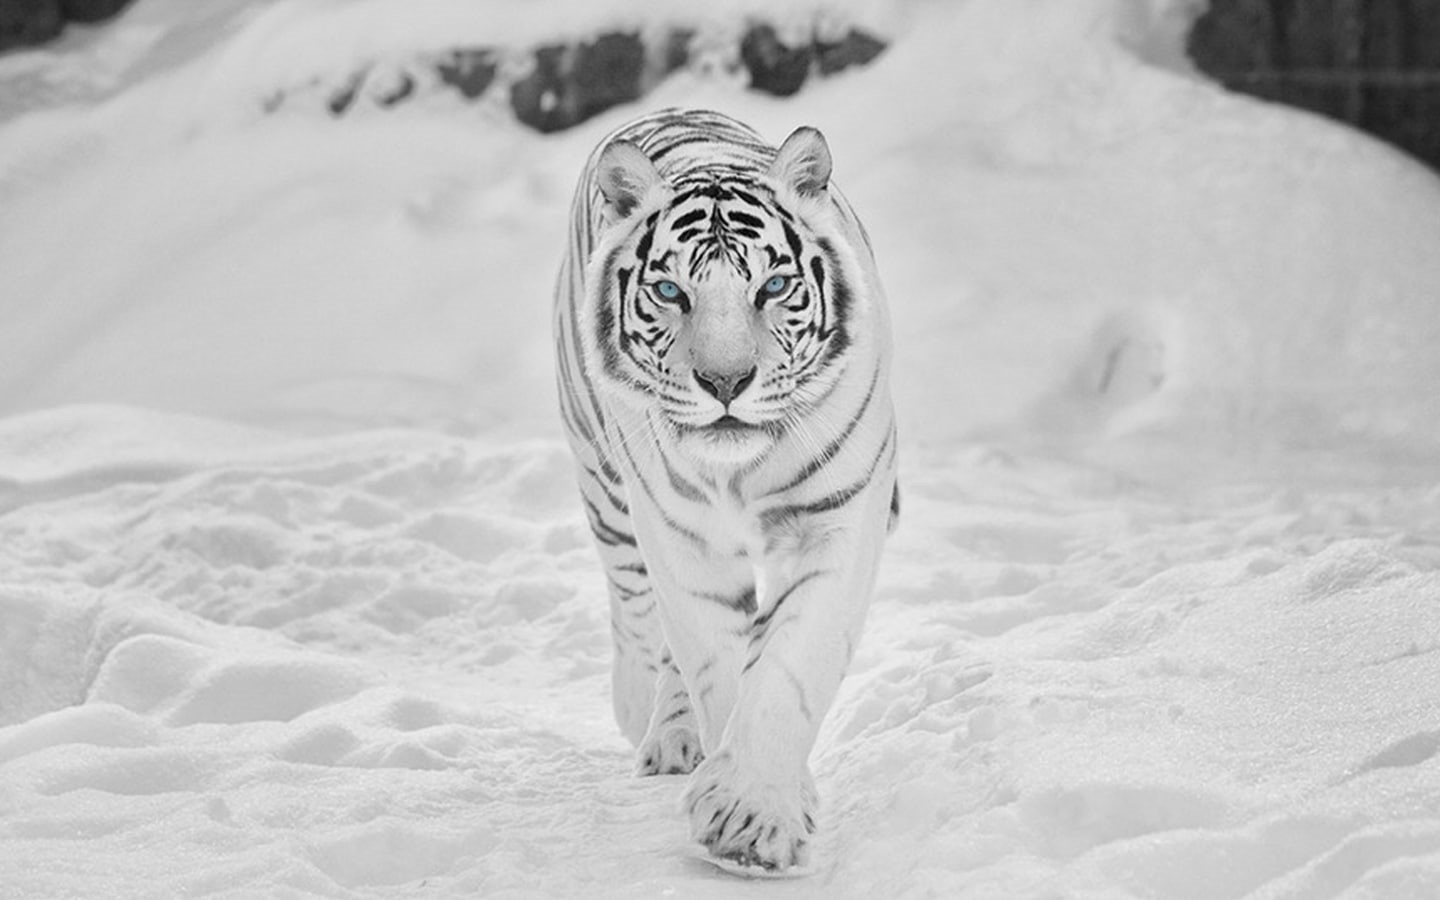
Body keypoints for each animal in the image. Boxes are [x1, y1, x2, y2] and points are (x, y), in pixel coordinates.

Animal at [553, 107, 898, 873]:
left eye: (771, 288)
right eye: (670, 292)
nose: (725, 382)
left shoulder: (837, 520)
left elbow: (789, 665)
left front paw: (754, 815)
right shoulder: (682, 539)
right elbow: (715, 658)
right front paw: (749, 808)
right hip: (605, 485)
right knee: (637, 612)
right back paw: (655, 724)